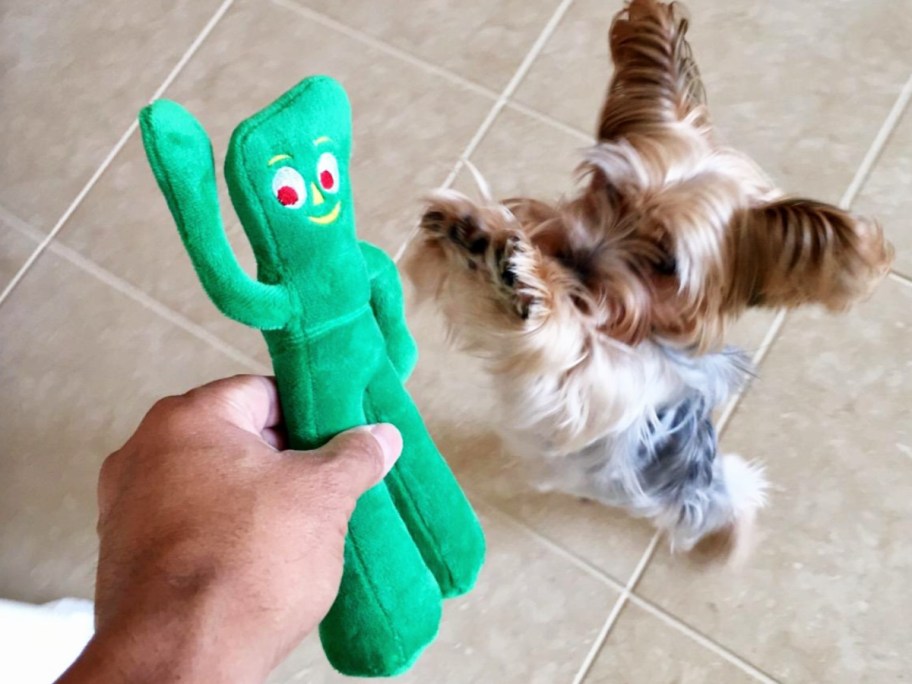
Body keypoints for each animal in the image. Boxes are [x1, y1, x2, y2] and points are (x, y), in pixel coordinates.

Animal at [404, 0, 892, 552]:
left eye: (664, 264)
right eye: (608, 190)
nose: (569, 262)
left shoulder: (598, 387)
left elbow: (569, 347)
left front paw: (533, 281)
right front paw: (473, 230)